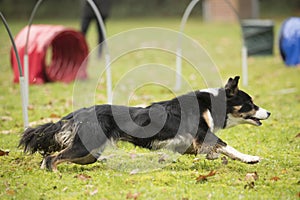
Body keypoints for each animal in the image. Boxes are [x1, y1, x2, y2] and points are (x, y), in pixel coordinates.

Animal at [19, 76, 270, 172]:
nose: (268, 112)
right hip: (83, 147)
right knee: (53, 157)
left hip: (89, 153)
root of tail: (79, 113)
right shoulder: (202, 135)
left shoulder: (188, 143)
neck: (210, 104)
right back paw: (53, 172)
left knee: (54, 156)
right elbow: (228, 147)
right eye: (250, 103)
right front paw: (251, 158)